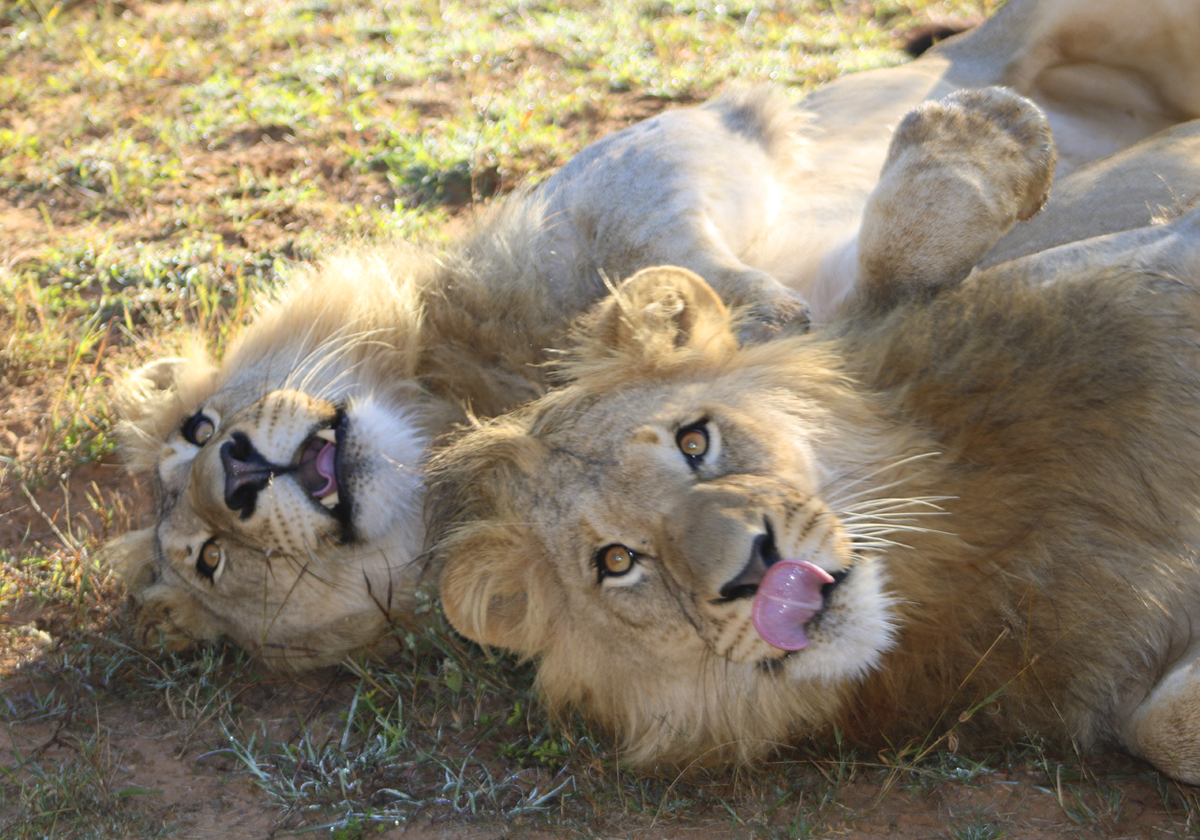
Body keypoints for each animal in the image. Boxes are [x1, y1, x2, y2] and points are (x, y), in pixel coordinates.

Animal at [108, 0, 1200, 668]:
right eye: (210, 562)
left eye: (196, 431)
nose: (237, 477)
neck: (470, 403)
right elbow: (865, 308)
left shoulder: (647, 159)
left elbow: (671, 256)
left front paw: (973, 144)